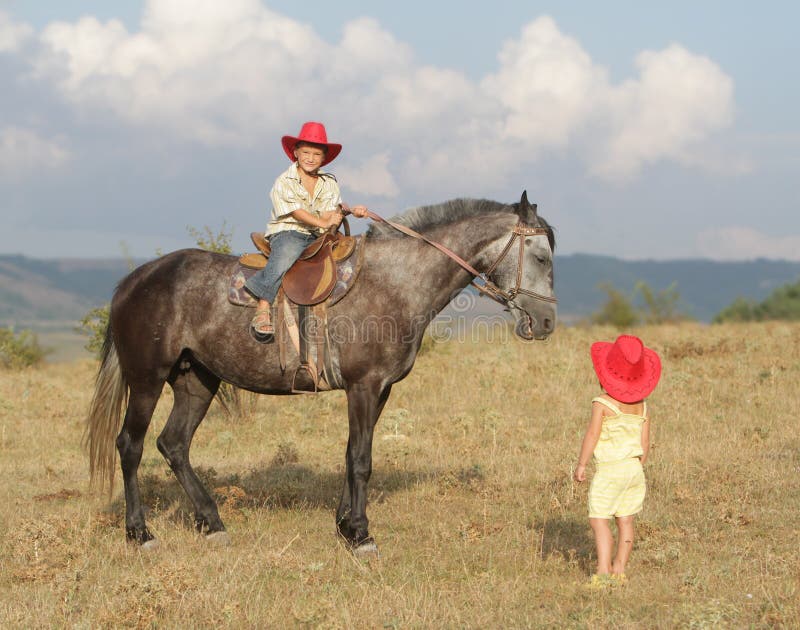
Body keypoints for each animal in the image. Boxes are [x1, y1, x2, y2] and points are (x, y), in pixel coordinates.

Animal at [85, 191, 557, 553]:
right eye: (540, 256)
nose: (547, 322)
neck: (396, 282)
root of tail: (134, 281)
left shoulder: (379, 390)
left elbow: (351, 455)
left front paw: (345, 526)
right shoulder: (363, 387)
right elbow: (362, 460)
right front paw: (362, 536)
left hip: (196, 381)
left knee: (174, 445)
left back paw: (212, 523)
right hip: (147, 380)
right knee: (130, 446)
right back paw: (140, 533)